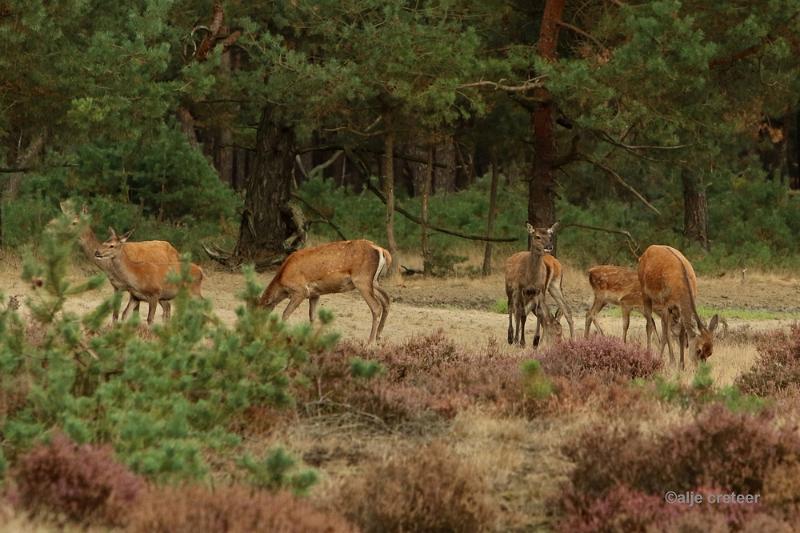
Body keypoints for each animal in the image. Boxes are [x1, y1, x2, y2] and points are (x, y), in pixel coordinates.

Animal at [258, 239, 392, 342]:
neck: (282, 280)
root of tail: (382, 251)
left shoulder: (301, 290)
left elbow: (285, 314)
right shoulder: (314, 293)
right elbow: (312, 316)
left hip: (362, 280)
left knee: (376, 306)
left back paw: (370, 342)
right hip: (374, 281)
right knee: (386, 299)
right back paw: (379, 336)